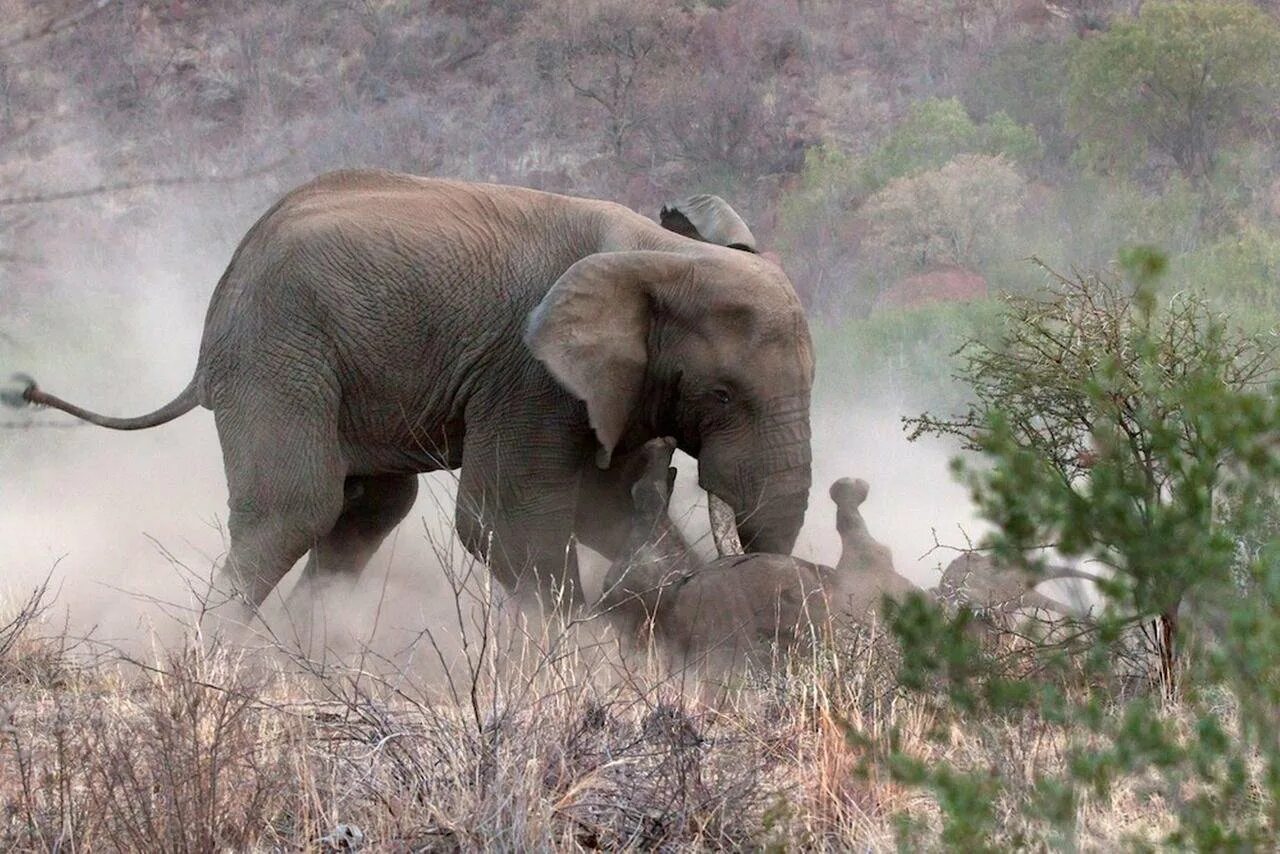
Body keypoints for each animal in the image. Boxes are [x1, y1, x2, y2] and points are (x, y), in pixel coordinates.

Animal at [2, 171, 808, 614]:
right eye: (723, 395)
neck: (665, 254)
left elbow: (601, 511)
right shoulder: (527, 374)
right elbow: (503, 523)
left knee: (369, 510)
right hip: (275, 353)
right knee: (295, 509)